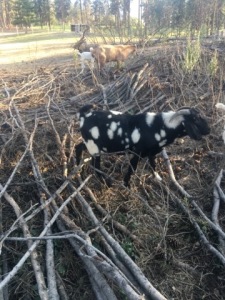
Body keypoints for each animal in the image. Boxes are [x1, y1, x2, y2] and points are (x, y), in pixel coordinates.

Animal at [75, 105, 209, 185]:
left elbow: (153, 165)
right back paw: (106, 182)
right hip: (94, 147)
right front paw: (126, 185)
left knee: (78, 147)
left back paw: (77, 166)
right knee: (95, 166)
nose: (208, 130)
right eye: (195, 119)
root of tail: (83, 116)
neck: (160, 126)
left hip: (91, 144)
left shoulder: (152, 152)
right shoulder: (137, 153)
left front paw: (158, 178)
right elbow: (132, 168)